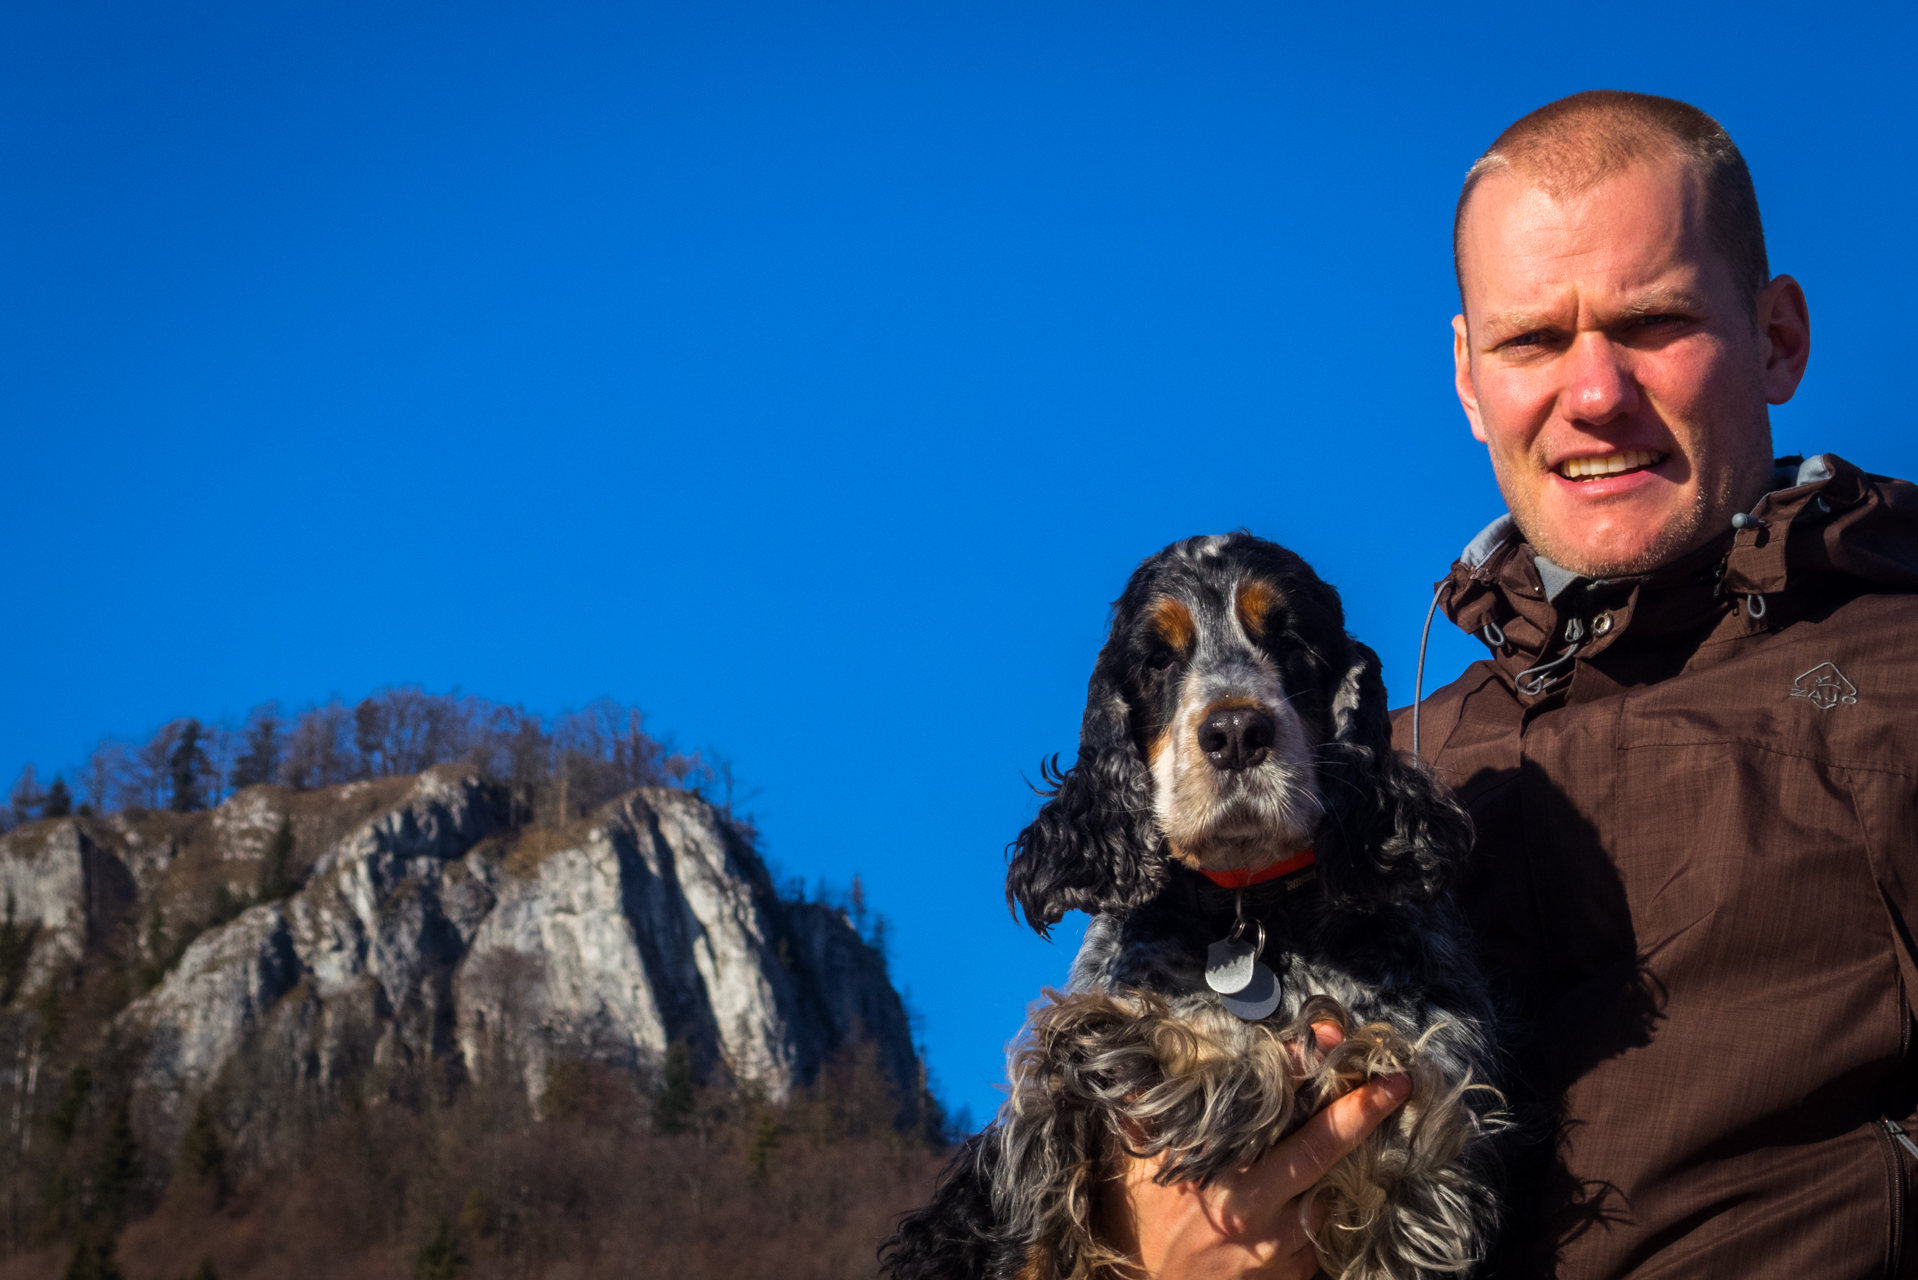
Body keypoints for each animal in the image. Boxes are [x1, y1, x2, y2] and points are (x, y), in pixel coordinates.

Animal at [878, 529, 1496, 1280]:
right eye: (1157, 659)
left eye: (1291, 640)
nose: (1235, 733)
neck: (1251, 911)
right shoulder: (1041, 1118)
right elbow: (1043, 1193)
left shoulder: (1420, 1146)